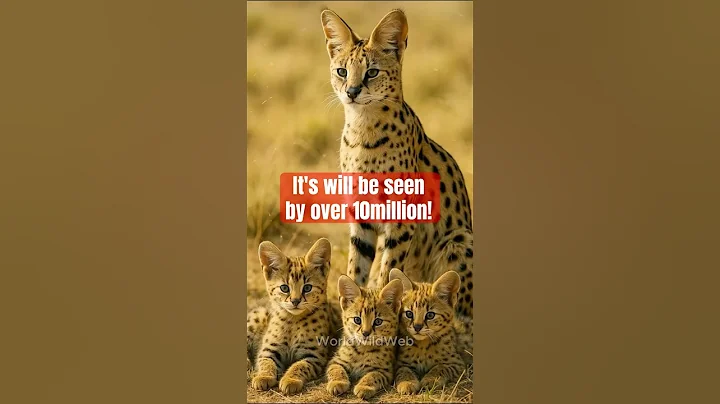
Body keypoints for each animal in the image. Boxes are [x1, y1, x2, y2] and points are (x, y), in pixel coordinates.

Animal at [247, 238, 335, 395]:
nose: (295, 301)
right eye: (284, 288)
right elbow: (266, 363)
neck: (292, 321)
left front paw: (290, 379)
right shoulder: (268, 350)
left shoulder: (314, 356)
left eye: (307, 288)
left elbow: (299, 366)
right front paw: (263, 377)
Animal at [320, 8, 474, 319]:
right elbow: (356, 268)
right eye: (342, 71)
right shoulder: (361, 215)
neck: (363, 131)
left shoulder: (402, 216)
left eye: (372, 72)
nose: (351, 91)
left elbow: (388, 270)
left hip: (460, 240)